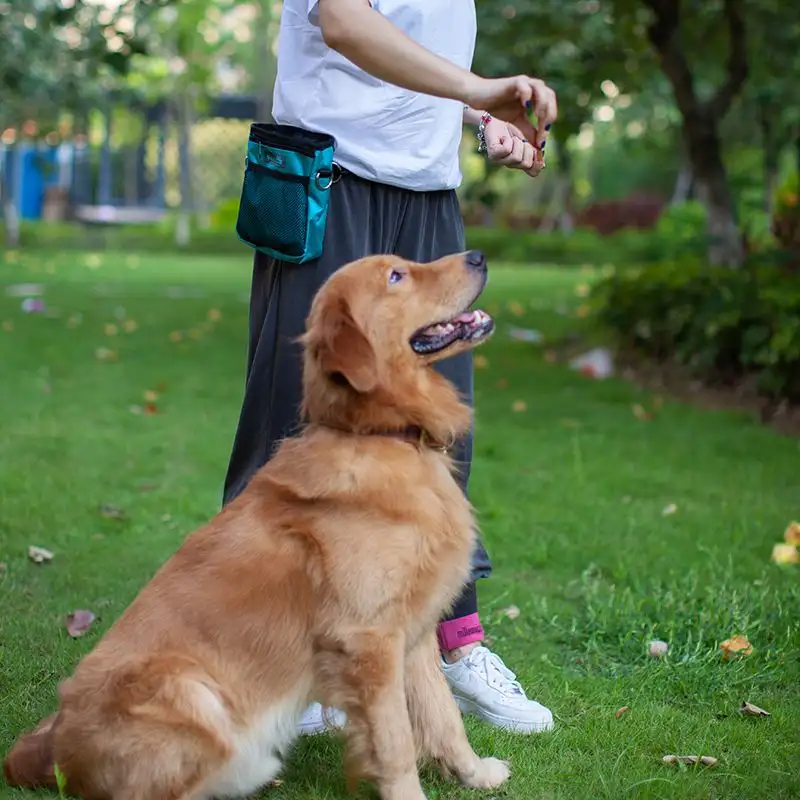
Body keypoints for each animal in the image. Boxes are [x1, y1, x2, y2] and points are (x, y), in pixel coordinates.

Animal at [4, 250, 506, 800]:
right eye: (396, 275)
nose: (478, 255)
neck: (379, 434)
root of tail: (49, 750)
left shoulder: (412, 635)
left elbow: (444, 716)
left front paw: (475, 772)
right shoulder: (368, 641)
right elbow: (395, 742)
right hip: (190, 691)